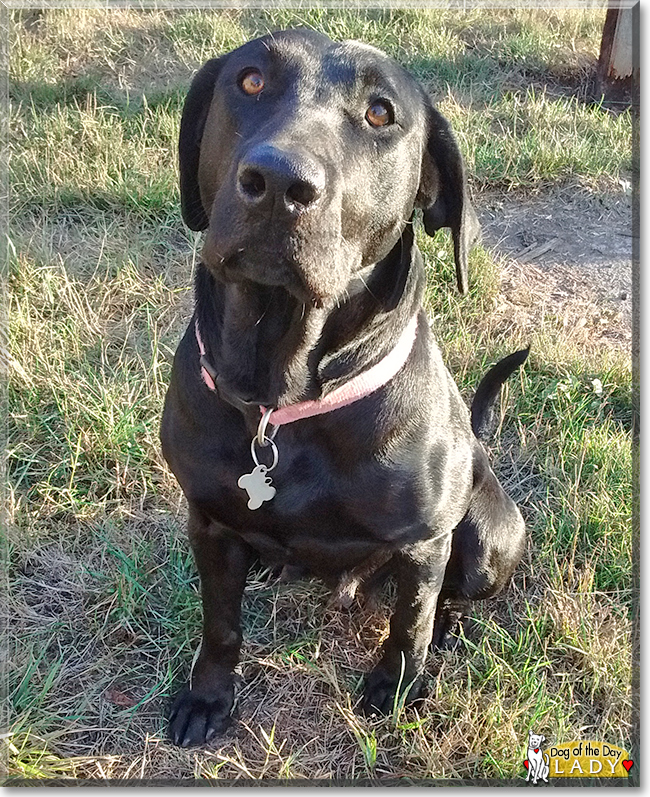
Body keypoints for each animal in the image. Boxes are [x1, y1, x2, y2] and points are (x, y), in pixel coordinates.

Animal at [161, 29, 528, 748]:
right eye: (250, 80)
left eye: (380, 113)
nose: (278, 182)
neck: (283, 399)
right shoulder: (210, 523)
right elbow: (221, 624)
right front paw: (208, 696)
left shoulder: (422, 542)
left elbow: (408, 625)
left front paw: (395, 685)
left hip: (486, 538)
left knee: (450, 597)